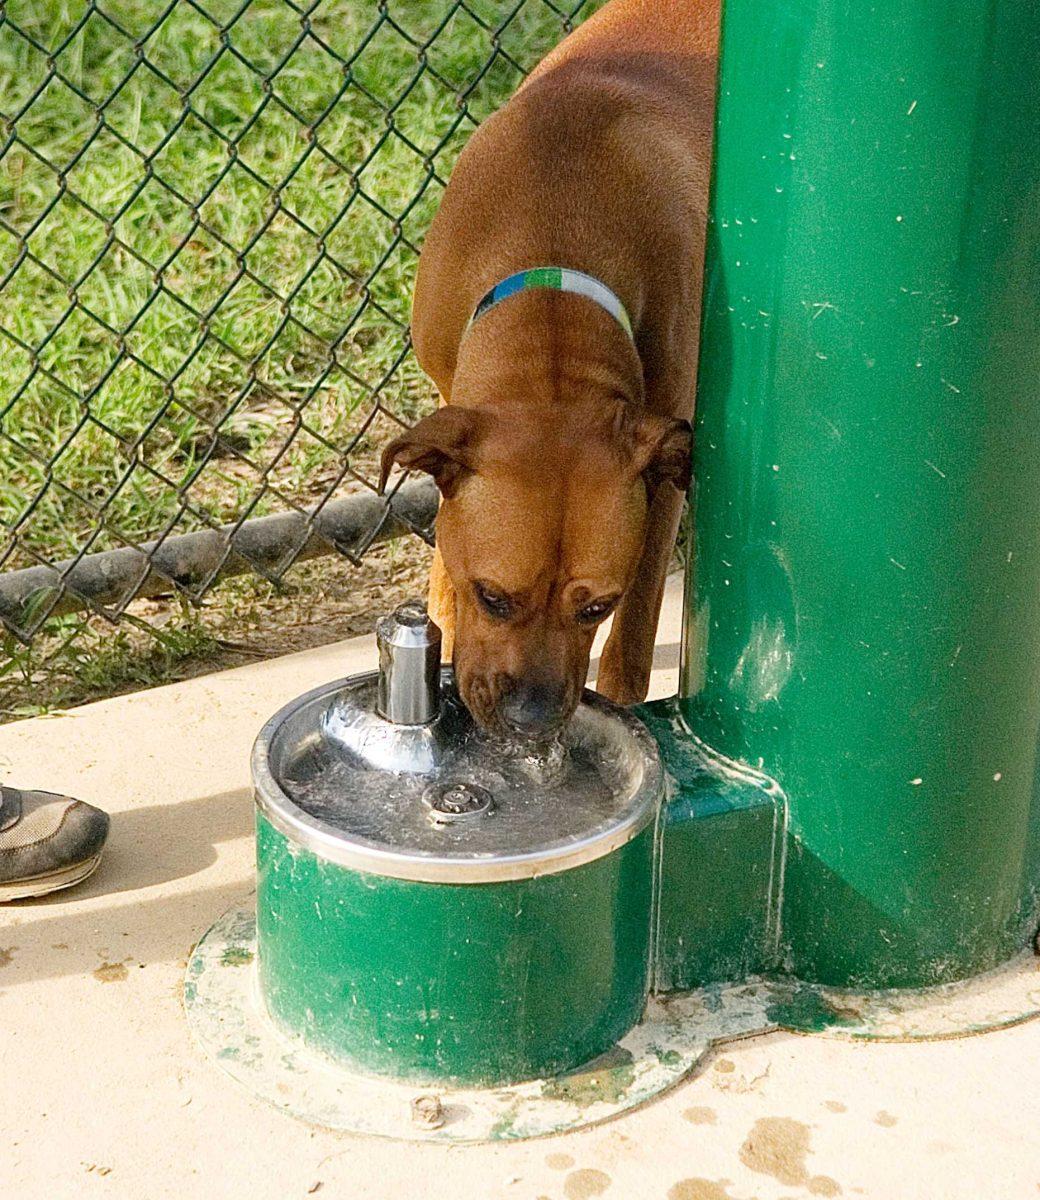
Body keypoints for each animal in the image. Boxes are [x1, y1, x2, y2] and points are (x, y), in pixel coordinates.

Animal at [383, 0, 724, 734]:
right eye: (492, 596)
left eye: (595, 606)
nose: (532, 719)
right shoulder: (451, 405)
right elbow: (444, 557)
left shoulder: (664, 471)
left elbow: (637, 628)